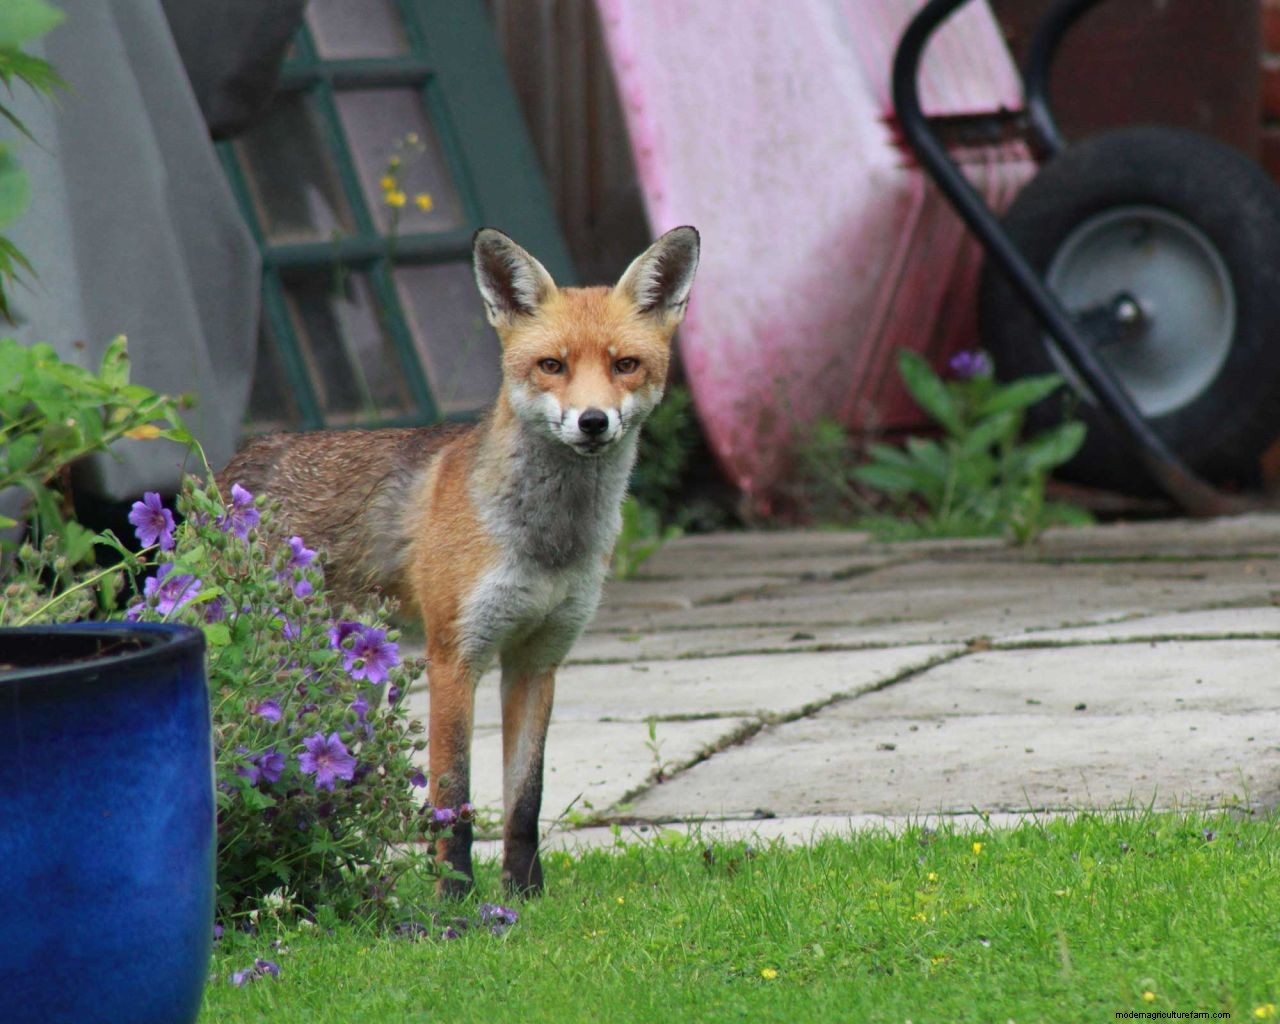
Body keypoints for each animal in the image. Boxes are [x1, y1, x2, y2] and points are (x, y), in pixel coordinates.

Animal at [218, 226, 700, 895]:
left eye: (625, 365)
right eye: (552, 366)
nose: (593, 421)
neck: (547, 543)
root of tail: (237, 463)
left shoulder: (537, 661)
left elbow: (525, 799)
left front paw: (524, 895)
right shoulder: (455, 657)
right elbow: (454, 799)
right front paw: (455, 898)